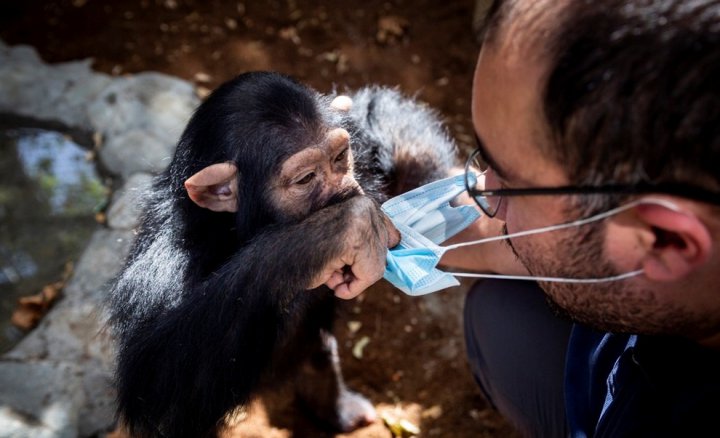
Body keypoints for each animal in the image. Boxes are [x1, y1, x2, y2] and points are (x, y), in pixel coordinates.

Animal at [108, 70, 456, 436]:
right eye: (305, 178)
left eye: (339, 158)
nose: (347, 189)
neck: (234, 229)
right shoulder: (165, 268)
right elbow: (161, 379)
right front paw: (343, 228)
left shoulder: (361, 147)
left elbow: (375, 113)